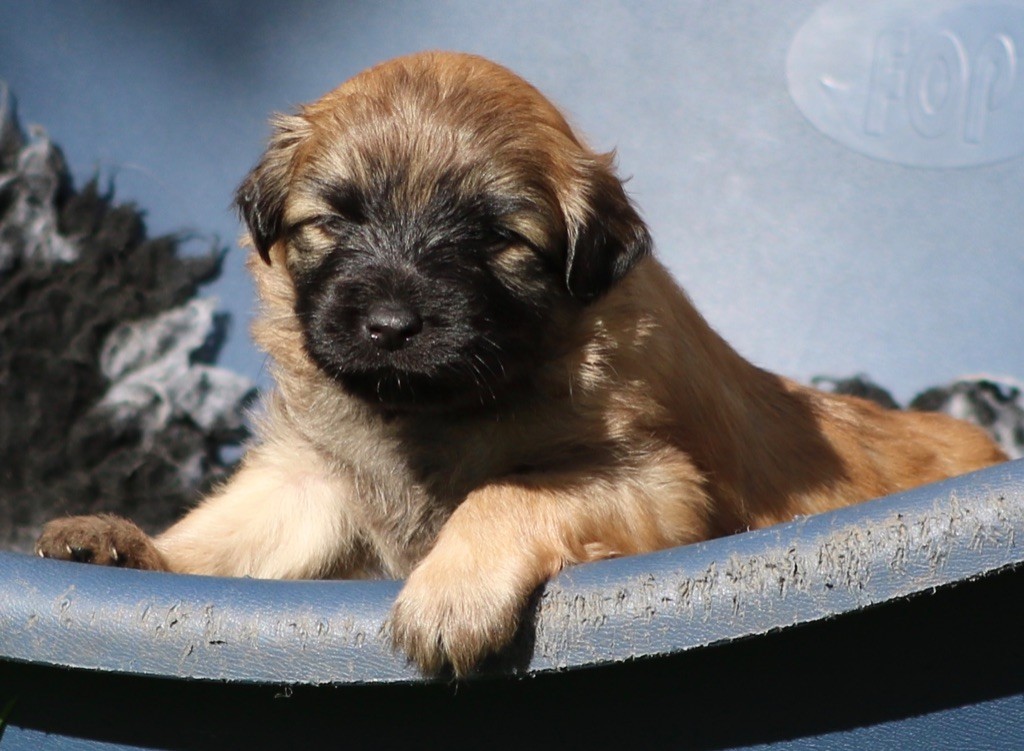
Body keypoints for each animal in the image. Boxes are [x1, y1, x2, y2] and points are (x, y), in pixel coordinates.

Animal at [34, 51, 1007, 672]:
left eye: (498, 240)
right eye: (334, 221)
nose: (390, 324)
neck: (432, 409)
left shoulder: (658, 483)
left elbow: (512, 488)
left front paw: (450, 591)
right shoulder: (317, 477)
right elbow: (229, 536)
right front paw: (124, 544)